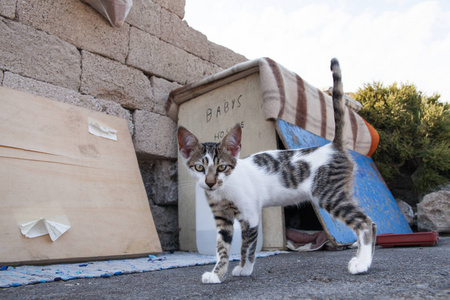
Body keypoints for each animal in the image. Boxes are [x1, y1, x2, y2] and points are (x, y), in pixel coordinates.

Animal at [176, 58, 376, 284]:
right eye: (199, 167)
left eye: (222, 167)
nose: (210, 182)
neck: (223, 190)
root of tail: (333, 146)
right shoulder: (222, 219)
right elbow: (222, 248)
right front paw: (217, 273)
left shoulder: (250, 215)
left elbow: (247, 246)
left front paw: (244, 269)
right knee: (369, 224)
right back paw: (363, 259)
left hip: (329, 194)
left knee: (365, 223)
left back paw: (362, 263)